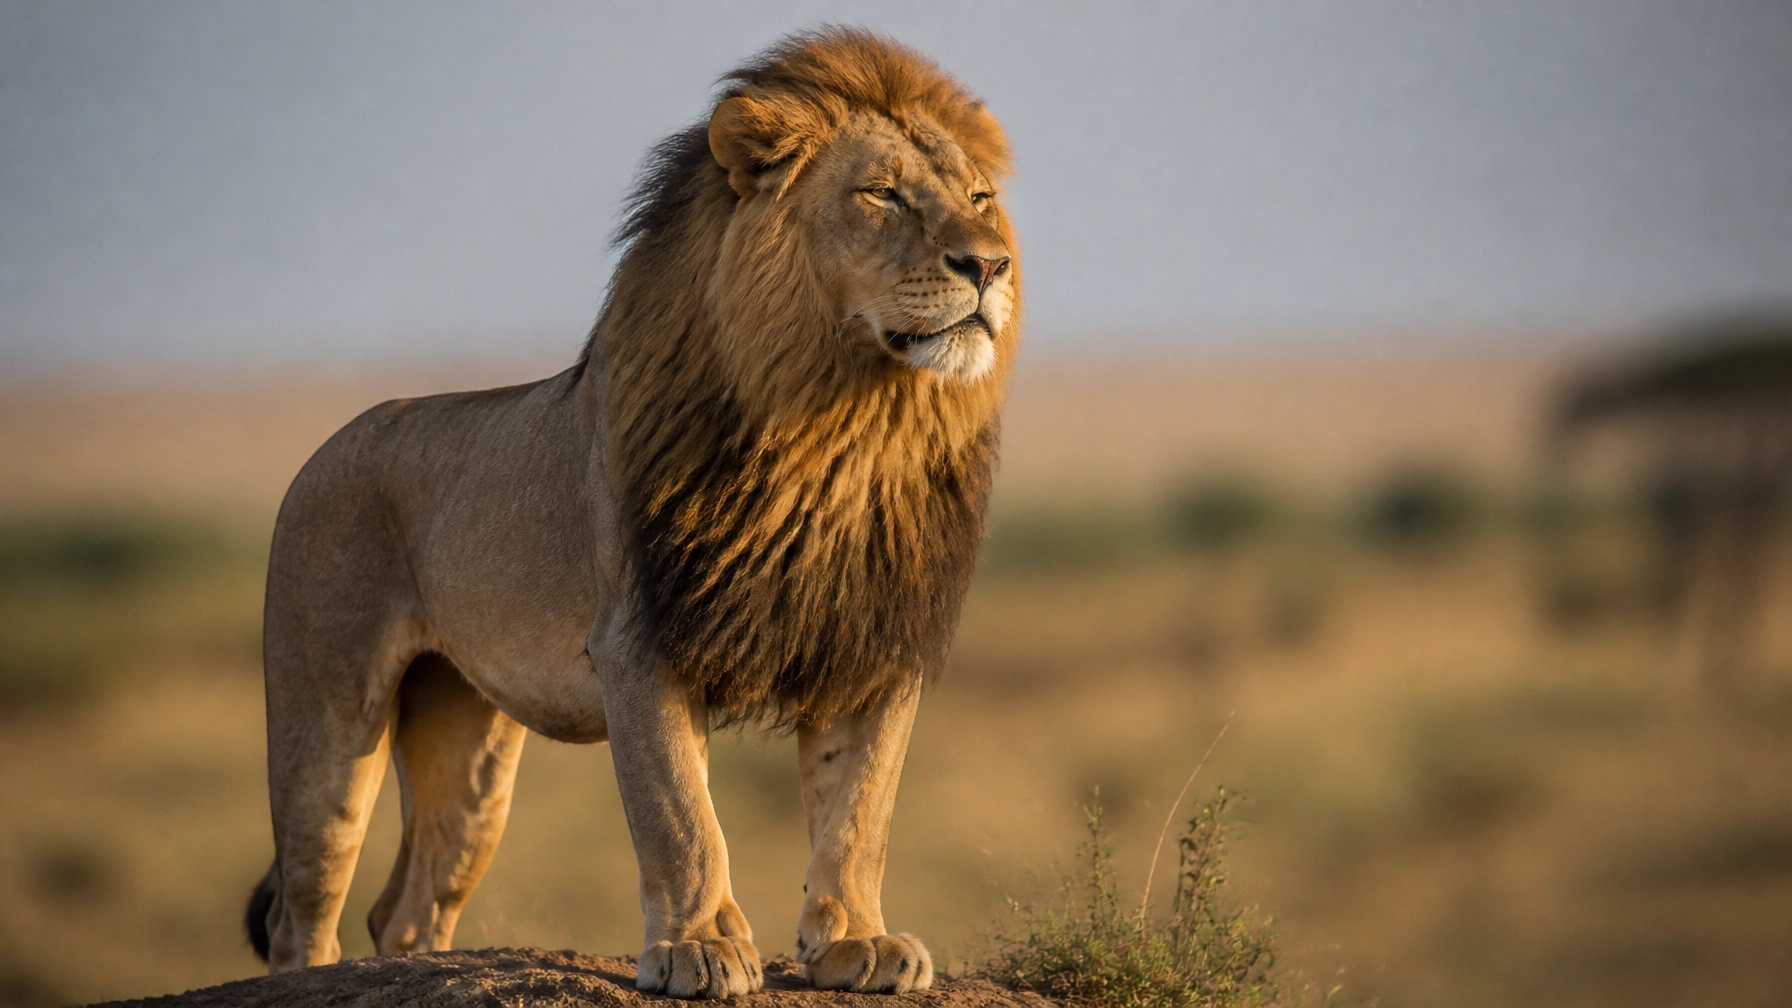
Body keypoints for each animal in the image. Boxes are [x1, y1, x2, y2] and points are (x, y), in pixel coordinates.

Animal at [242, 27, 1019, 1000]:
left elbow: (858, 812)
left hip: (467, 743)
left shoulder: (872, 643)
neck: (845, 429)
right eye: (882, 193)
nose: (989, 264)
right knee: (304, 907)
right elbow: (680, 813)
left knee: (409, 906)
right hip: (327, 712)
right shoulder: (640, 639)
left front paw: (856, 942)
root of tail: (325, 446)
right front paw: (699, 947)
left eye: (981, 200)